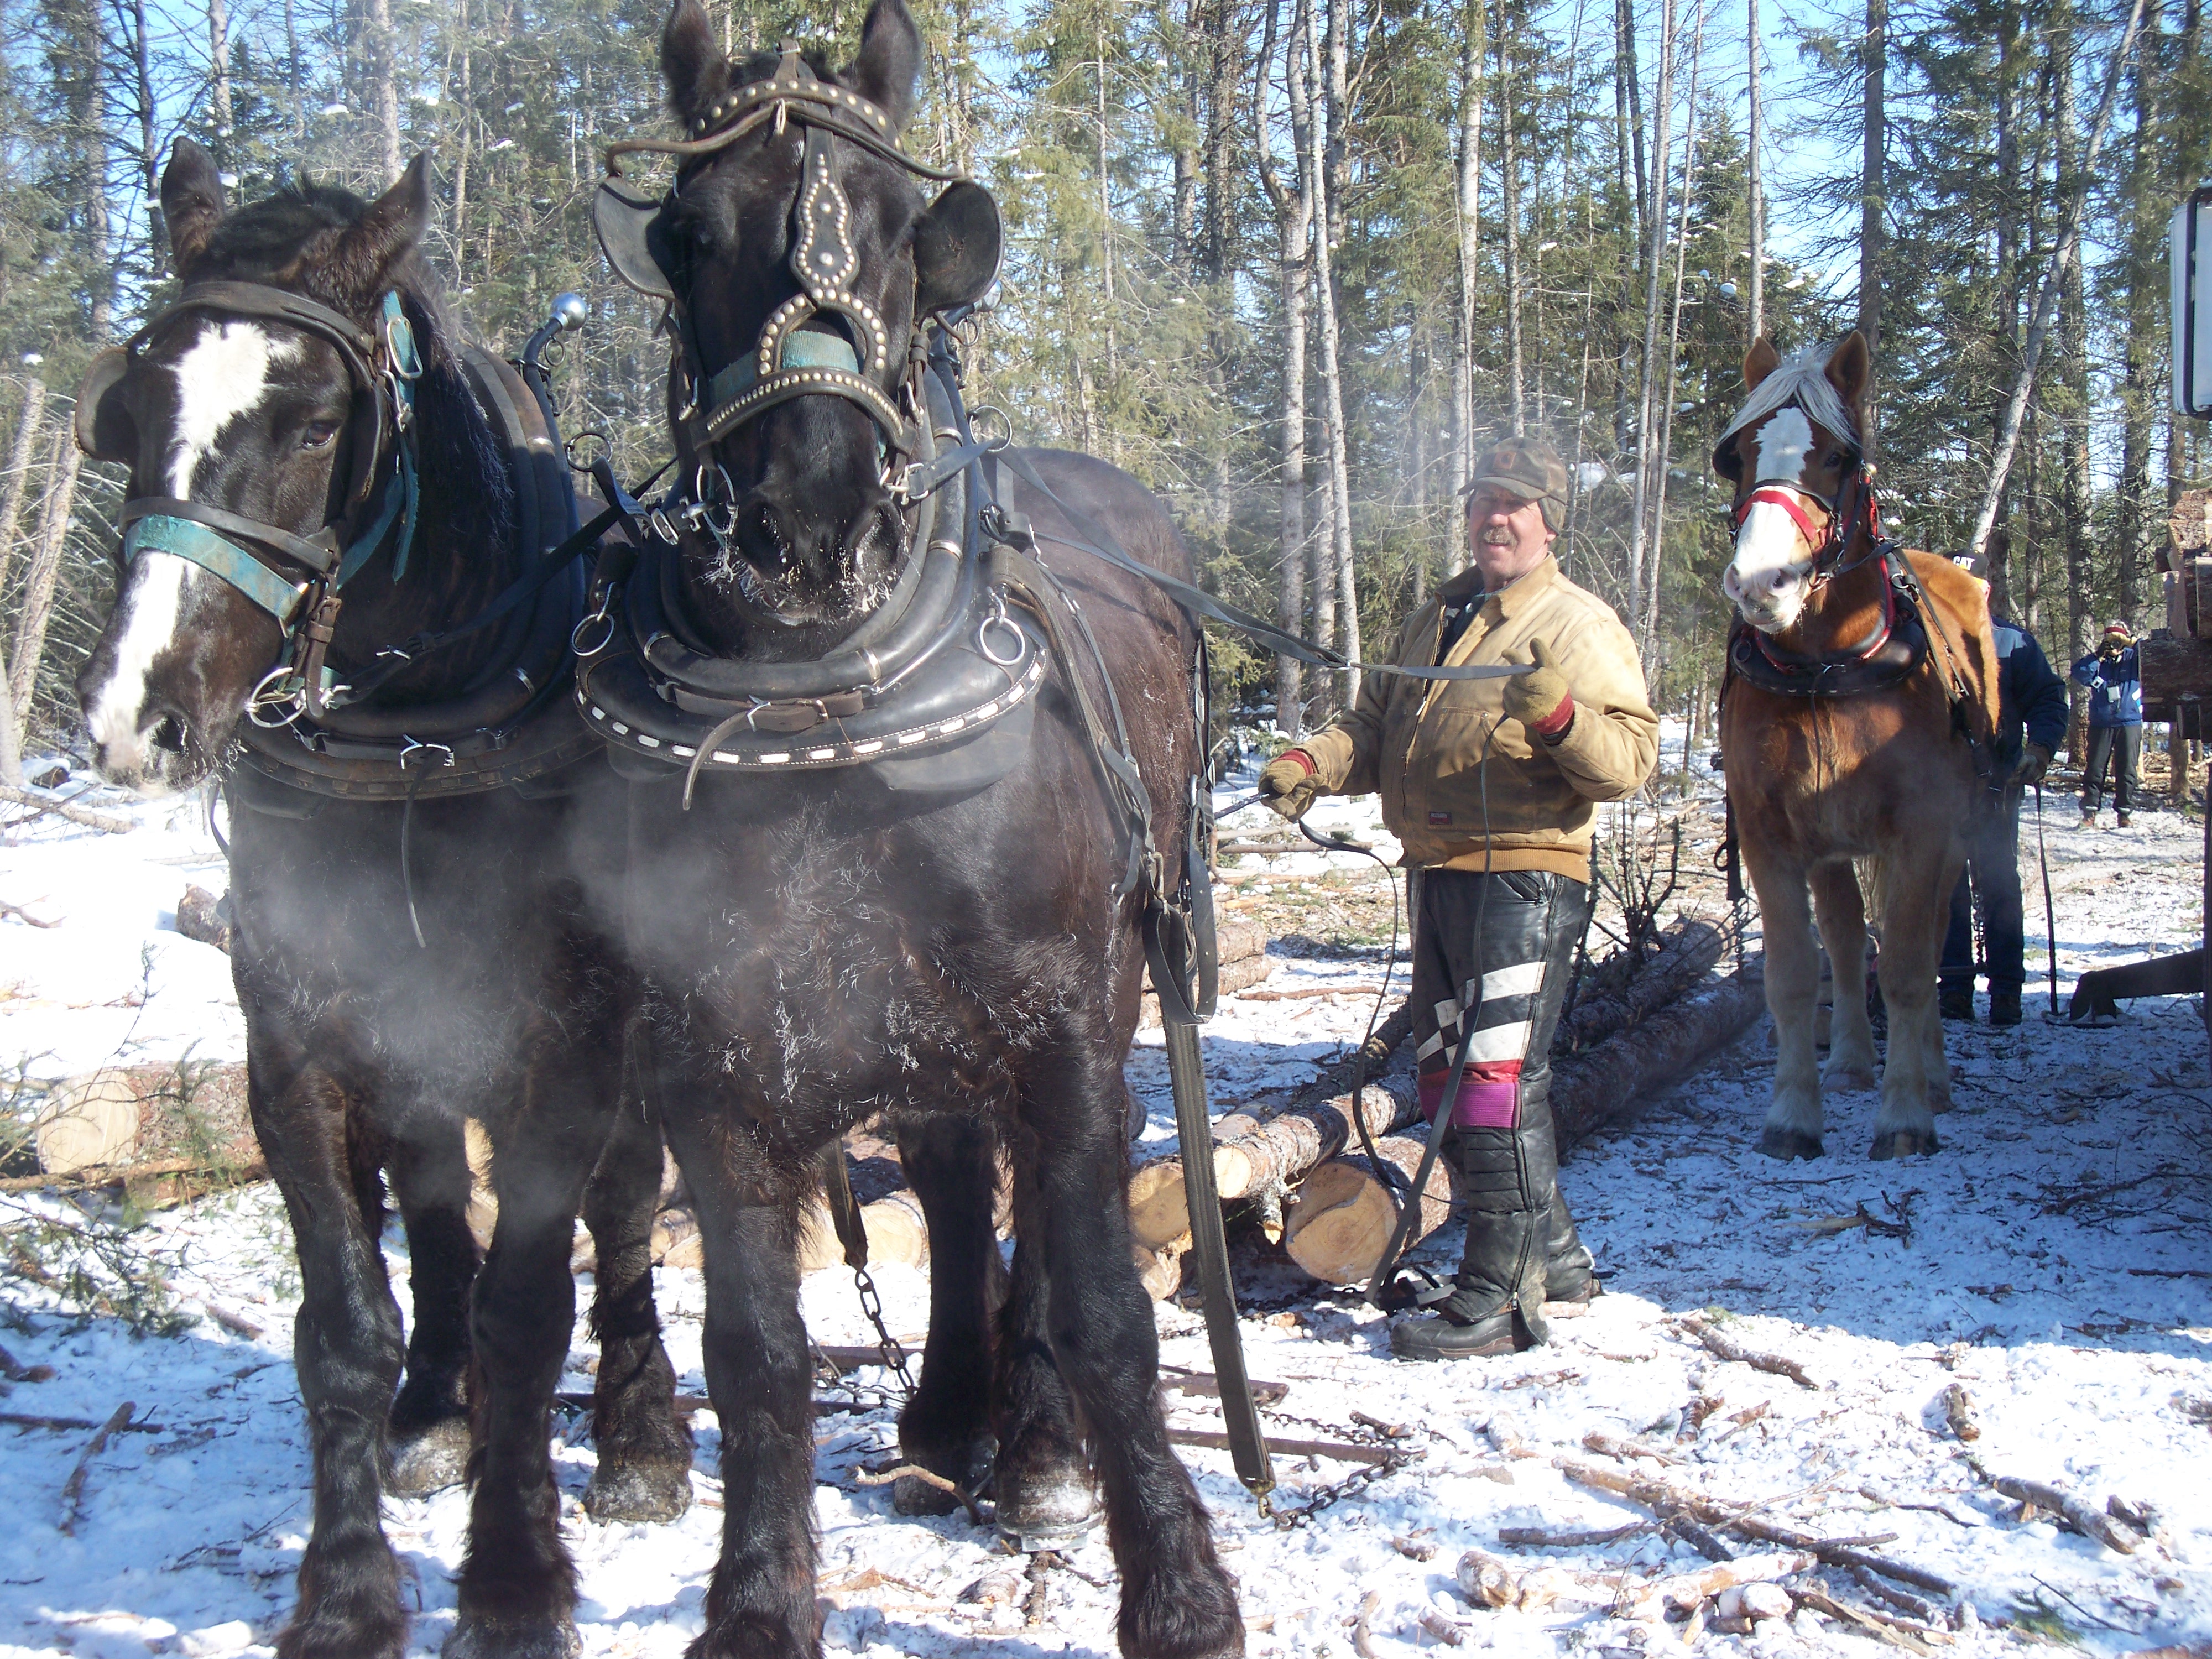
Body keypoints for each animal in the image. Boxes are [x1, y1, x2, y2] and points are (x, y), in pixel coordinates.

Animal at [78, 143, 686, 1659]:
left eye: (309, 424)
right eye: (134, 408)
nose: (131, 719)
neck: (411, 726)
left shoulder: (565, 1040)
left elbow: (539, 1301)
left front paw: (516, 1585)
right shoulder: (296, 1034)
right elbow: (345, 1320)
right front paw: (348, 1589)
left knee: (626, 1206)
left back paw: (642, 1427)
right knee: (431, 1197)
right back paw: (432, 1407)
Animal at [580, 3, 1248, 1659]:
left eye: (898, 233)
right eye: (687, 234)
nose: (810, 519)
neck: (828, 709)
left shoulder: (1060, 1029)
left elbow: (1107, 1305)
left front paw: (1176, 1583)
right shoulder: (715, 1073)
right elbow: (754, 1346)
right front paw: (758, 1598)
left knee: (1039, 1212)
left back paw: (1035, 1444)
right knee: (949, 1180)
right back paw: (953, 1414)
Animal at [1708, 336, 2008, 1159]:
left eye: (1838, 456)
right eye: (1737, 456)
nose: (1762, 583)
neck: (1827, 668)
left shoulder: (1921, 831)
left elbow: (1906, 966)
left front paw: (1906, 1114)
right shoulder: (1771, 835)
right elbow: (1792, 971)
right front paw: (1792, 1115)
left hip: (1953, 837)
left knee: (1929, 938)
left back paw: (1931, 1075)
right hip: (1830, 841)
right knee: (1843, 938)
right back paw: (1846, 1060)